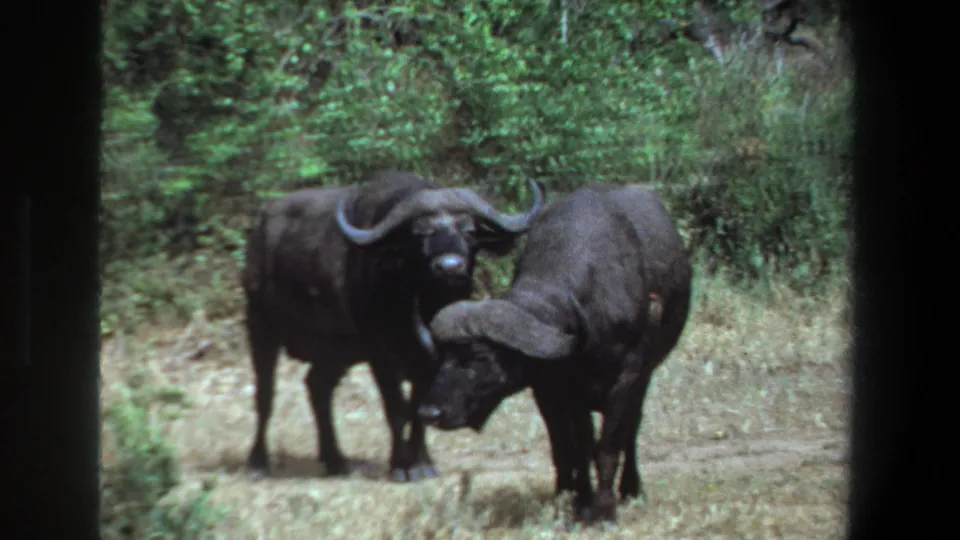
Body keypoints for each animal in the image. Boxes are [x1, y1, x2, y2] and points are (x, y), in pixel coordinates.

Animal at [242, 171, 544, 482]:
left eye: (469, 231)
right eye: (420, 234)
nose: (450, 267)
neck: (418, 302)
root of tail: (262, 224)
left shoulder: (433, 359)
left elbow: (420, 407)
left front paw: (422, 463)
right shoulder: (380, 354)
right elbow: (397, 409)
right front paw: (400, 465)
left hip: (337, 350)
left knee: (317, 387)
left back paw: (336, 460)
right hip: (260, 325)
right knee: (265, 394)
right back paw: (257, 462)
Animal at [414, 183, 692, 522]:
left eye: (479, 358)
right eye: (442, 356)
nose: (430, 412)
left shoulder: (627, 380)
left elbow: (608, 447)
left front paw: (603, 511)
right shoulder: (554, 391)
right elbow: (573, 448)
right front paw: (577, 501)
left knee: (631, 429)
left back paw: (631, 488)